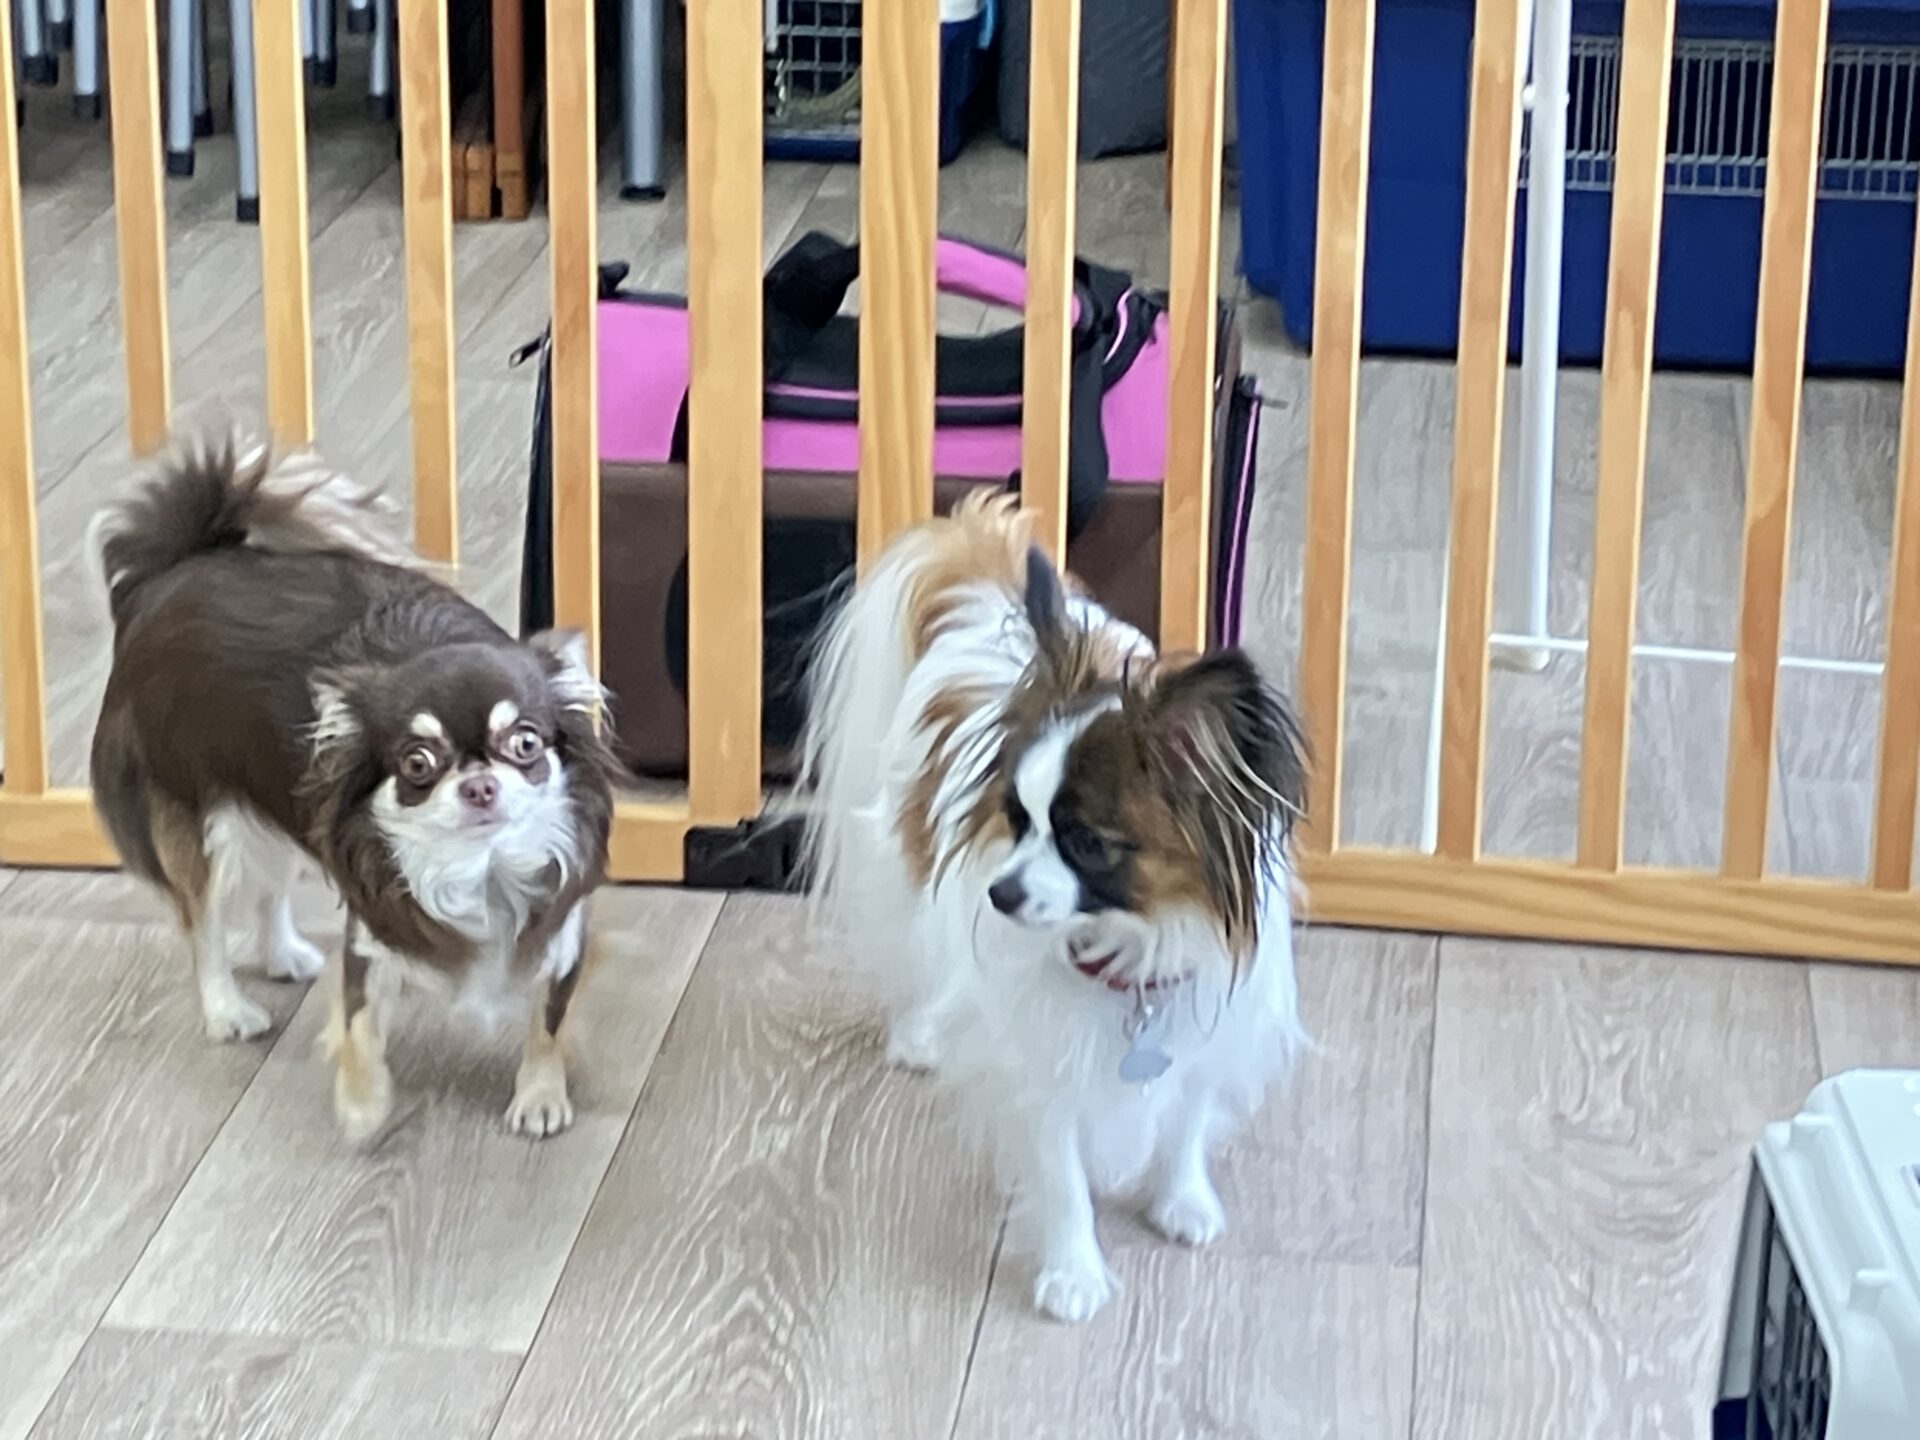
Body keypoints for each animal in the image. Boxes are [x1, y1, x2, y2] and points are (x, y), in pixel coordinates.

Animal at [89, 427, 617, 1143]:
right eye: (417, 763)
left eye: (527, 744)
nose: (479, 784)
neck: (479, 868)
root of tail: (174, 571)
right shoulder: (373, 933)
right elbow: (362, 1023)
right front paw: (363, 1106)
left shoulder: (561, 927)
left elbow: (548, 1023)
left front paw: (539, 1097)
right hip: (202, 822)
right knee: (204, 922)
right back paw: (228, 1009)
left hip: (277, 797)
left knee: (270, 886)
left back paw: (283, 954)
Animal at [801, 494, 1308, 1323]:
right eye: (1015, 820)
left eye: (1087, 843)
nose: (1000, 893)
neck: (1131, 941)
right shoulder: (1038, 1065)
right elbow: (1062, 1172)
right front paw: (1073, 1274)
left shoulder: (1206, 1028)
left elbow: (1185, 1122)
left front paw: (1181, 1201)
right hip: (904, 876)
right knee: (915, 954)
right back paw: (920, 1032)